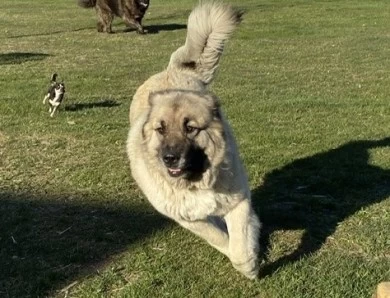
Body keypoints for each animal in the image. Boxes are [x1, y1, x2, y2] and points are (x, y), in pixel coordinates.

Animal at [128, 1, 260, 280]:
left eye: (190, 128)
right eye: (160, 129)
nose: (169, 158)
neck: (196, 182)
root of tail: (172, 70)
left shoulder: (238, 201)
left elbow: (239, 243)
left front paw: (249, 264)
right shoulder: (189, 218)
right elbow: (219, 238)